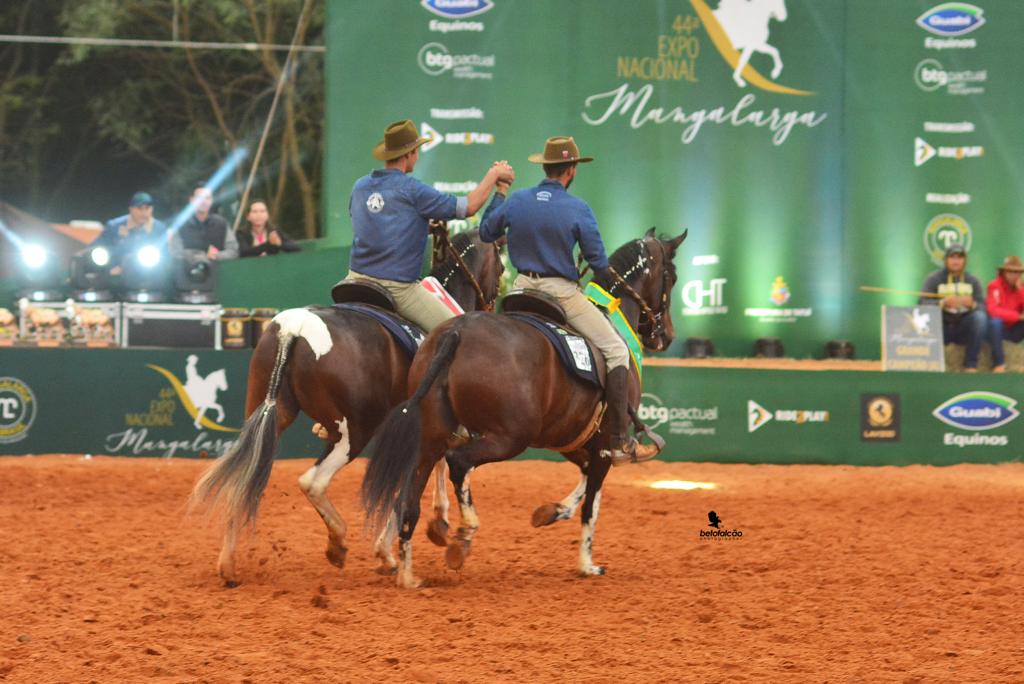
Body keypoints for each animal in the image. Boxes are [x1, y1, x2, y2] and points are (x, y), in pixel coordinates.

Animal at [190, 227, 501, 585]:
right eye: (500, 265)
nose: (494, 302)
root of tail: (294, 329)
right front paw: (402, 544)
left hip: (268, 416)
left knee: (243, 479)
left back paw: (228, 565)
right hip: (354, 431)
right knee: (312, 483)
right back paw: (337, 542)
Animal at [362, 229, 688, 589]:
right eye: (671, 277)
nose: (667, 334)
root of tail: (456, 333)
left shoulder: (571, 437)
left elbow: (584, 480)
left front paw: (553, 511)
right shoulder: (604, 445)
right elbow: (592, 504)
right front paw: (586, 564)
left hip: (431, 435)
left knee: (409, 497)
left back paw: (407, 572)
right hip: (508, 438)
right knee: (458, 463)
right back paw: (463, 535)